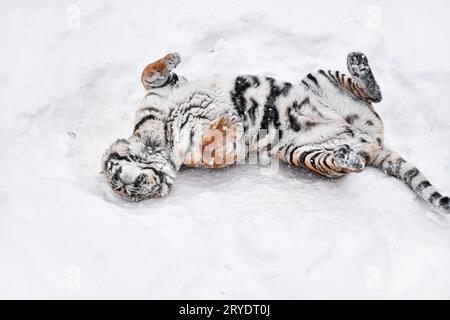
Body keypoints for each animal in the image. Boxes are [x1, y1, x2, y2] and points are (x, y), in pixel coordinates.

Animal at [102, 52, 450, 216]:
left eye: (122, 181)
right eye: (125, 189)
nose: (137, 184)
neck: (157, 143)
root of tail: (370, 143)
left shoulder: (163, 91)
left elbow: (148, 73)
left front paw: (171, 58)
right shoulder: (211, 155)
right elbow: (215, 149)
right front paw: (227, 125)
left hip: (320, 79)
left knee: (373, 94)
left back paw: (359, 63)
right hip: (300, 152)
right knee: (341, 166)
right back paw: (346, 158)